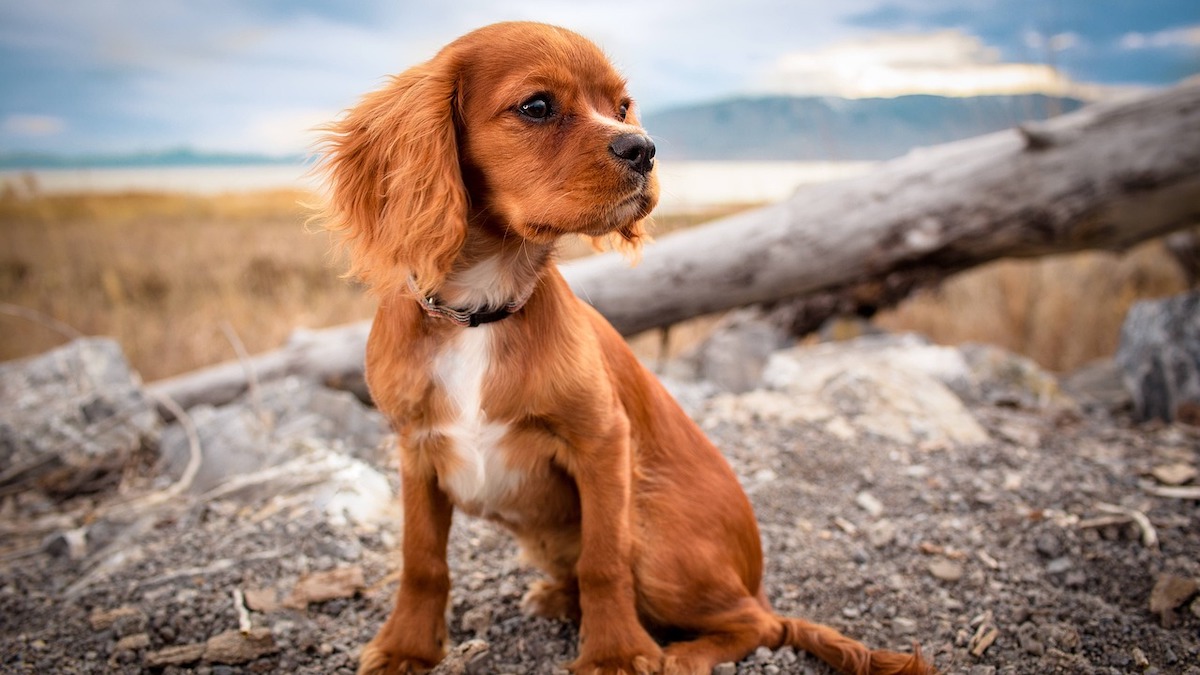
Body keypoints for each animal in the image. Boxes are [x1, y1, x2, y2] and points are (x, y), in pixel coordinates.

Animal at [314, 21, 931, 672]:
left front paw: (614, 652)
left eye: (622, 108)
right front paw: (406, 646)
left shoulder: (602, 440)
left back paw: (682, 654)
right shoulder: (415, 450)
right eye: (537, 107)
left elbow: (603, 560)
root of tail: (757, 579)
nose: (644, 148)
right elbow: (422, 559)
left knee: (761, 623)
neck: (478, 314)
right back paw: (559, 598)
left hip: (655, 533)